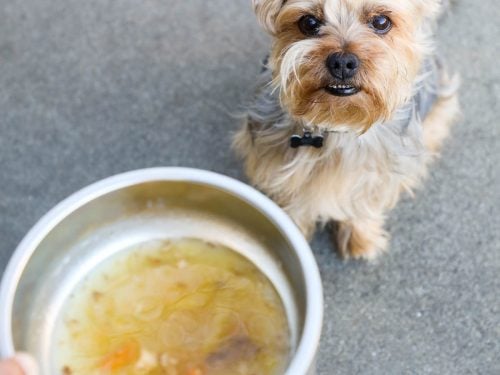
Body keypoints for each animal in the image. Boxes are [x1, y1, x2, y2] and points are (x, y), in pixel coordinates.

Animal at [234, 0, 460, 260]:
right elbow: (295, 200)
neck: (338, 122)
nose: (342, 62)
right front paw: (292, 232)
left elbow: (364, 204)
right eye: (309, 22)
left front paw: (360, 239)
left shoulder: (379, 175)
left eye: (381, 22)